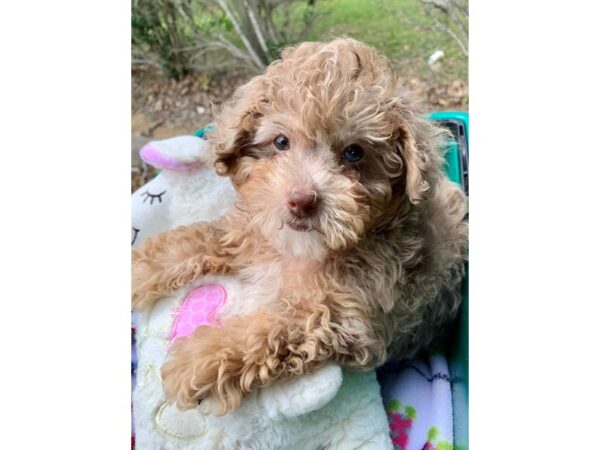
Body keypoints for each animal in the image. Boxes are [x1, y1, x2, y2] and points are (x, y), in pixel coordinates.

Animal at [132, 37, 468, 414]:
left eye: (354, 153)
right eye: (281, 142)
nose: (302, 200)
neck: (306, 250)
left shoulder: (345, 318)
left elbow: (269, 329)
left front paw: (199, 358)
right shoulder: (246, 232)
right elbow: (197, 238)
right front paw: (137, 269)